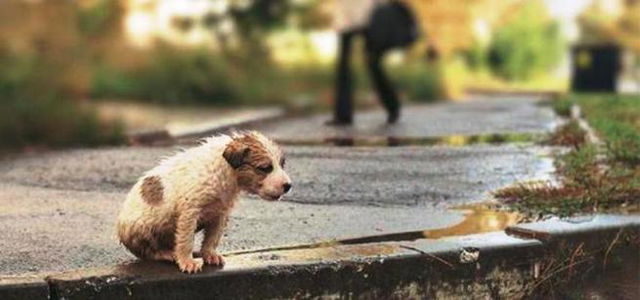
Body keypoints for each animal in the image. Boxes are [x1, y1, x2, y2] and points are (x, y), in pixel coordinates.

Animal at [116, 130, 292, 274]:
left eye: (282, 164)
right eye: (264, 168)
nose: (288, 186)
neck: (226, 171)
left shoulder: (220, 213)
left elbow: (212, 238)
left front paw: (209, 254)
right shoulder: (190, 212)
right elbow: (186, 240)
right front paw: (187, 261)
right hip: (143, 228)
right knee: (148, 251)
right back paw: (167, 253)